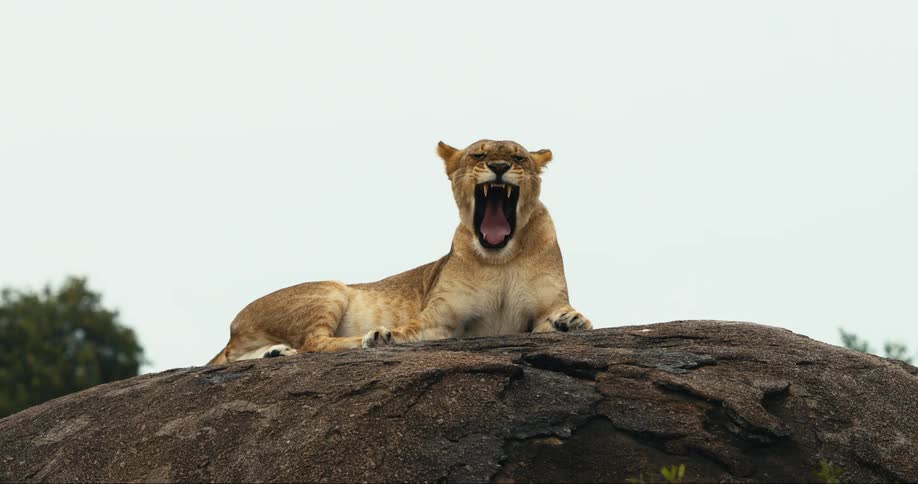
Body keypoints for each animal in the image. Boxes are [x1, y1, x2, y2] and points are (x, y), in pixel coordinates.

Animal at [207, 139, 591, 365]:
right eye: (479, 155)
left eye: (518, 157)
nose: (500, 167)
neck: (501, 258)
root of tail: (233, 326)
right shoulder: (441, 319)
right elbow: (411, 331)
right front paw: (382, 336)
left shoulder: (539, 310)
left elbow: (556, 316)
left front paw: (571, 321)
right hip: (331, 289)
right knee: (313, 342)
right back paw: (358, 340)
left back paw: (275, 352)